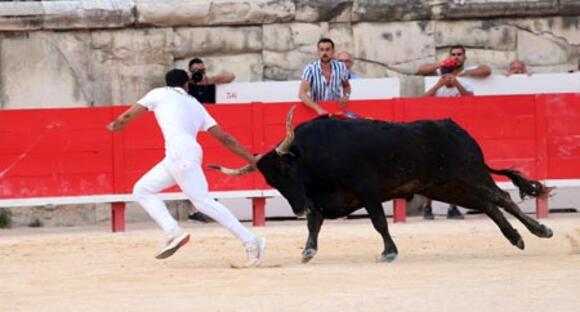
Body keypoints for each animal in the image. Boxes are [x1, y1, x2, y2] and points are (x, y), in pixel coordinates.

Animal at [212, 106, 552, 262]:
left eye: (288, 171)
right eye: (271, 180)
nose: (296, 208)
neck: (315, 154)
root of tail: (454, 127)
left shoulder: (367, 191)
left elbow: (379, 222)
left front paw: (389, 251)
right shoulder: (321, 200)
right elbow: (314, 225)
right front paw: (308, 251)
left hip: (470, 173)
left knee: (501, 198)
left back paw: (540, 231)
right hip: (445, 186)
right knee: (487, 205)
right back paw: (516, 239)